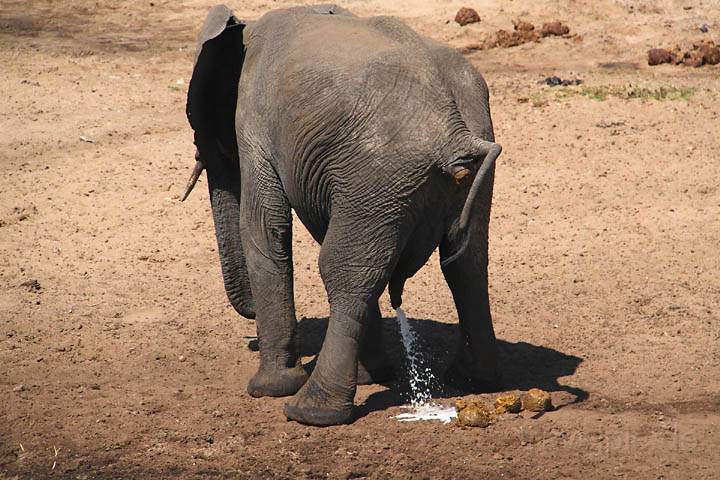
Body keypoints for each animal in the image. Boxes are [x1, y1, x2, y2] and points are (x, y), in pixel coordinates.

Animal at [183, 2, 504, 424]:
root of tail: (456, 131)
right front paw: (373, 375)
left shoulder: (254, 123)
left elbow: (265, 229)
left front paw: (267, 390)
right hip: (431, 166)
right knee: (465, 264)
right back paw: (474, 380)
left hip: (383, 170)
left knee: (344, 270)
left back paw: (309, 412)